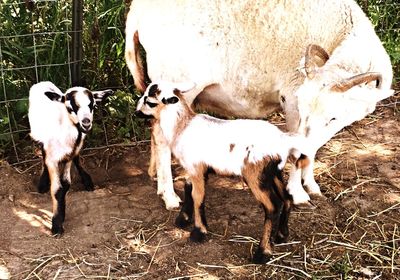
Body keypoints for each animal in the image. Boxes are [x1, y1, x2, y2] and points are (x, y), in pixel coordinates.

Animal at [28, 82, 112, 235]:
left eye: (92, 105)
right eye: (70, 107)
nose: (86, 122)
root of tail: (42, 82)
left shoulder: (70, 155)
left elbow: (66, 184)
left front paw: (61, 215)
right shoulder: (52, 160)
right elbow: (57, 189)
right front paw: (56, 225)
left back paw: (87, 181)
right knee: (42, 152)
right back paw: (42, 184)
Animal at [125, 0, 394, 209]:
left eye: (334, 118)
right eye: (304, 108)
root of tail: (137, 10)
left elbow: (312, 149)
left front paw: (311, 184)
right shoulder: (292, 98)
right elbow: (297, 150)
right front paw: (298, 193)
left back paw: (155, 175)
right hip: (175, 82)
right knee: (162, 139)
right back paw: (169, 195)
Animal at [136, 81, 310, 262]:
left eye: (150, 102)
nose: (136, 113)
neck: (182, 127)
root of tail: (283, 140)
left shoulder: (196, 168)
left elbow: (197, 196)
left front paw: (198, 232)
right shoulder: (194, 168)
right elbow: (188, 187)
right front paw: (183, 220)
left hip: (255, 175)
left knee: (273, 207)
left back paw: (262, 253)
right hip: (272, 173)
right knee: (286, 197)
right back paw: (282, 235)